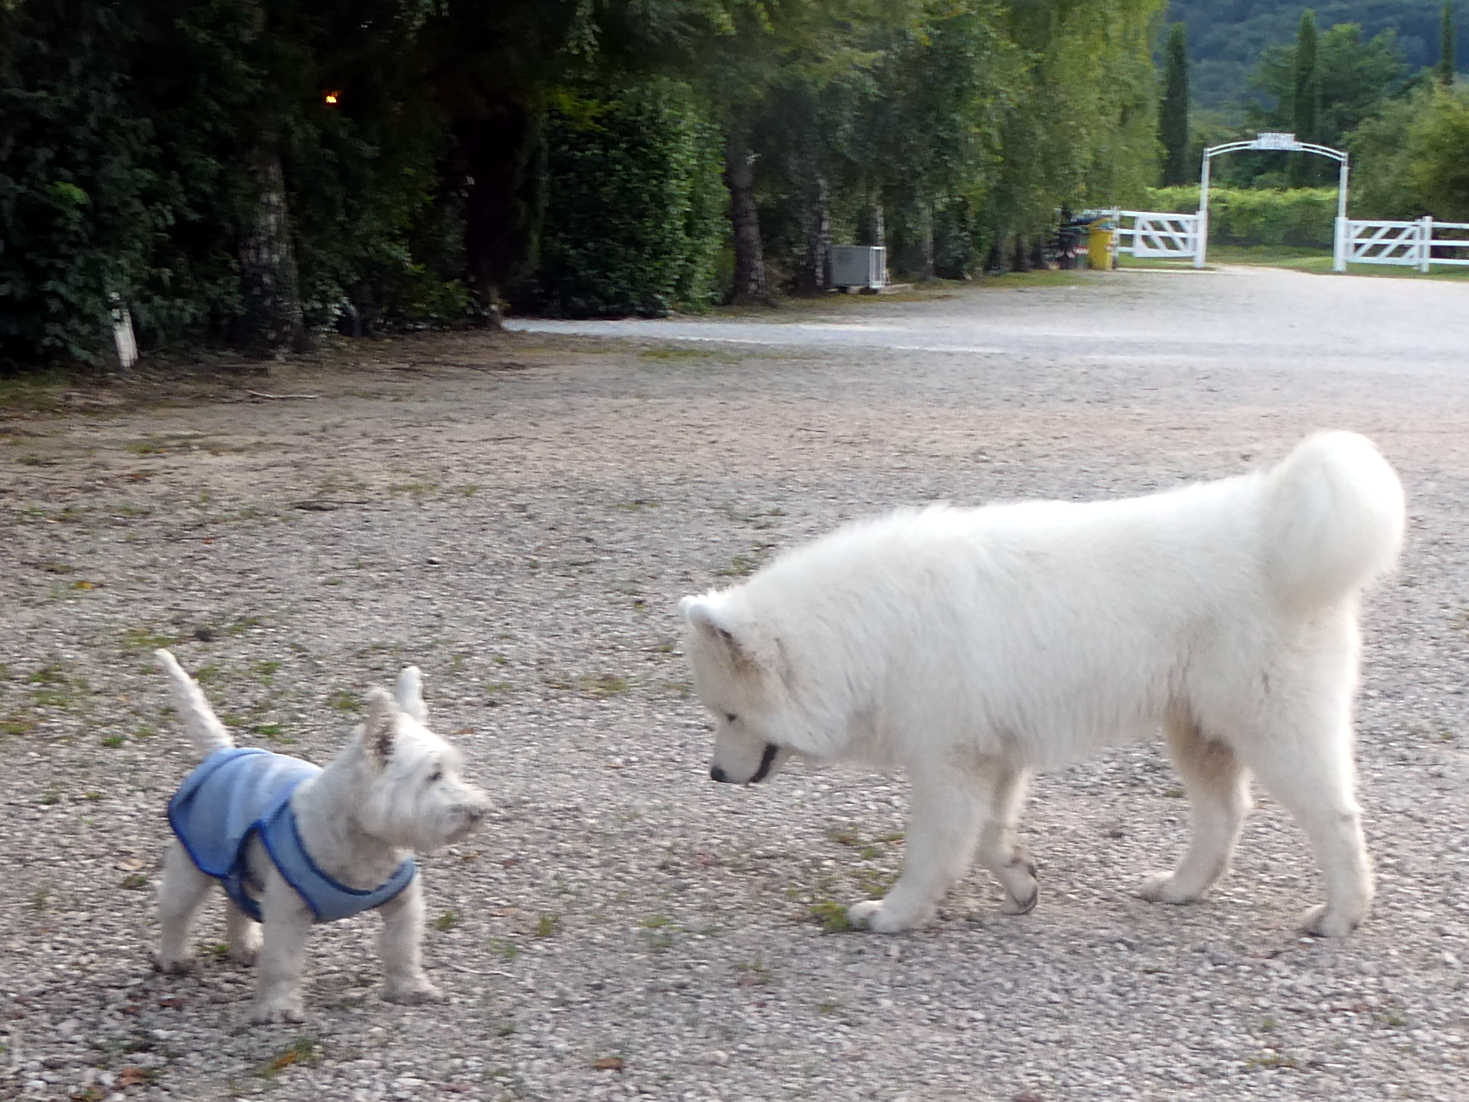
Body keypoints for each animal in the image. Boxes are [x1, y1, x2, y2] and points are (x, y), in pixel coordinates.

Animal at [154, 652, 490, 1022]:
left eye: (454, 771)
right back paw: (174, 957)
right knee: (176, 910)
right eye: (433, 775)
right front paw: (278, 1008)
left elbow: (402, 947)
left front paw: (410, 989)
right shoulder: (287, 909)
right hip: (194, 862)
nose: (479, 810)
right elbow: (282, 962)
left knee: (236, 903)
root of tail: (223, 754)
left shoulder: (404, 903)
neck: (364, 841)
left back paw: (246, 947)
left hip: (245, 866)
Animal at [681, 431, 1404, 940]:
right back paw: (1181, 888)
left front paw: (893, 914)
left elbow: (933, 852)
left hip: (1273, 729)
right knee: (1223, 816)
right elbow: (990, 837)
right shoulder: (994, 758)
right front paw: (1021, 883)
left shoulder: (946, 764)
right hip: (1199, 732)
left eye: (730, 716)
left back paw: (1340, 915)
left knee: (1336, 819)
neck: (869, 632)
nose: (715, 776)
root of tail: (1270, 523)